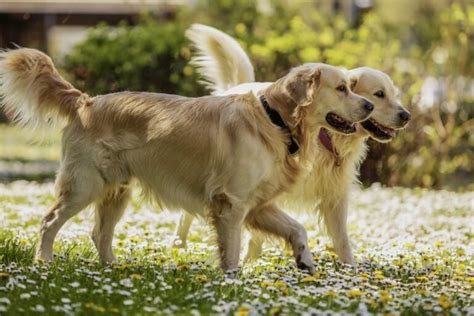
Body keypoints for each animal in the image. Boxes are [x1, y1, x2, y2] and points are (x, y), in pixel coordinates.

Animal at [0, 48, 374, 272]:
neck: (275, 120)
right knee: (49, 222)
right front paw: (232, 279)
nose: (369, 105)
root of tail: (85, 101)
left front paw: (304, 257)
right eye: (342, 88)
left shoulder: (258, 205)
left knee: (99, 233)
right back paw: (43, 261)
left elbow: (297, 227)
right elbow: (232, 248)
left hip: (117, 190)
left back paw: (113, 269)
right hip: (85, 184)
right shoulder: (231, 202)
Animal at [172, 24, 410, 266]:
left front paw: (349, 268)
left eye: (394, 94)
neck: (325, 139)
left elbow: (342, 240)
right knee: (186, 215)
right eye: (379, 94)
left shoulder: (335, 196)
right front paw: (248, 262)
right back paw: (178, 246)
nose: (406, 116)